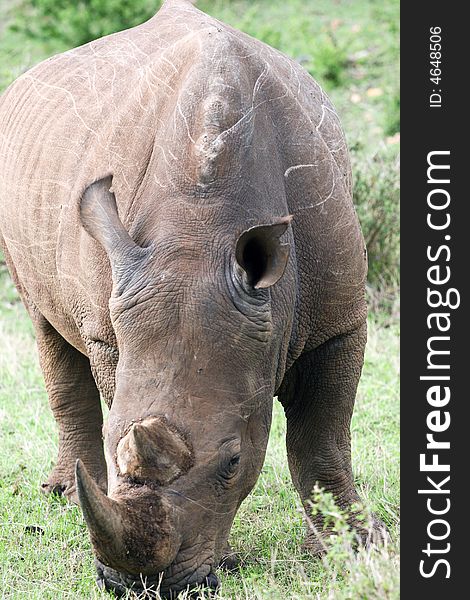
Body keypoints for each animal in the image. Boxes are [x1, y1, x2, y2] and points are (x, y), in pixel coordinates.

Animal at [0, 0, 382, 596]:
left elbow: (321, 438)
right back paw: (60, 496)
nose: (136, 585)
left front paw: (353, 547)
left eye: (234, 462)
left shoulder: (340, 320)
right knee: (45, 325)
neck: (201, 231)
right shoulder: (111, 326)